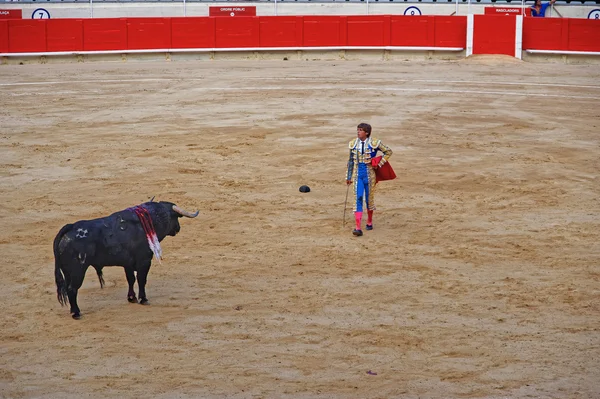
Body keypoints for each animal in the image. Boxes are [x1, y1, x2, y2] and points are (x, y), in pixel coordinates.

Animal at [53, 202, 198, 320]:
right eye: (176, 217)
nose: (178, 228)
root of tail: (70, 227)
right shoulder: (144, 261)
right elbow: (141, 279)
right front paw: (143, 299)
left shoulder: (128, 263)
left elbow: (131, 279)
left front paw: (131, 298)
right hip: (78, 271)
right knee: (72, 289)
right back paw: (76, 313)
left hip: (67, 272)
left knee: (68, 289)